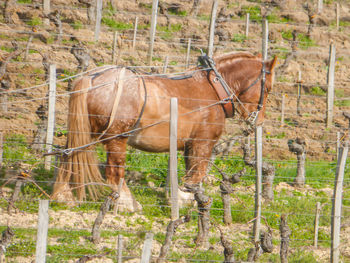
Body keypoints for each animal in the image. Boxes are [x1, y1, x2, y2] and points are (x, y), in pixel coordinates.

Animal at [51, 51, 276, 211]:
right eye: (267, 89)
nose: (258, 121)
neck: (213, 90)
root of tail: (91, 78)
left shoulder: (189, 144)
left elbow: (189, 173)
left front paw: (181, 199)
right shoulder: (202, 143)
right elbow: (195, 175)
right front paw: (190, 201)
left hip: (84, 134)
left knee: (67, 157)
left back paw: (63, 196)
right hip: (117, 139)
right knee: (115, 173)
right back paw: (128, 204)